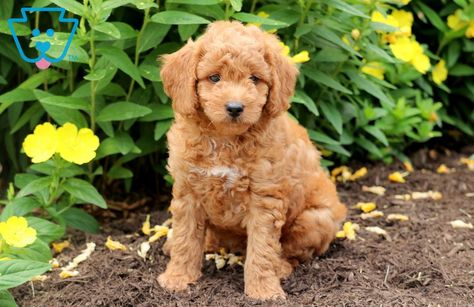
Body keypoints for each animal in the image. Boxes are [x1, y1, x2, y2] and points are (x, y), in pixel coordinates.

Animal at [157, 21, 346, 300]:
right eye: (214, 78)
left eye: (254, 79)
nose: (235, 108)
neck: (225, 139)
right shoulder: (188, 191)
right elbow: (186, 237)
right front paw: (177, 278)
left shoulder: (264, 198)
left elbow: (262, 249)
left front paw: (263, 290)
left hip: (315, 220)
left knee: (291, 251)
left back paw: (281, 267)